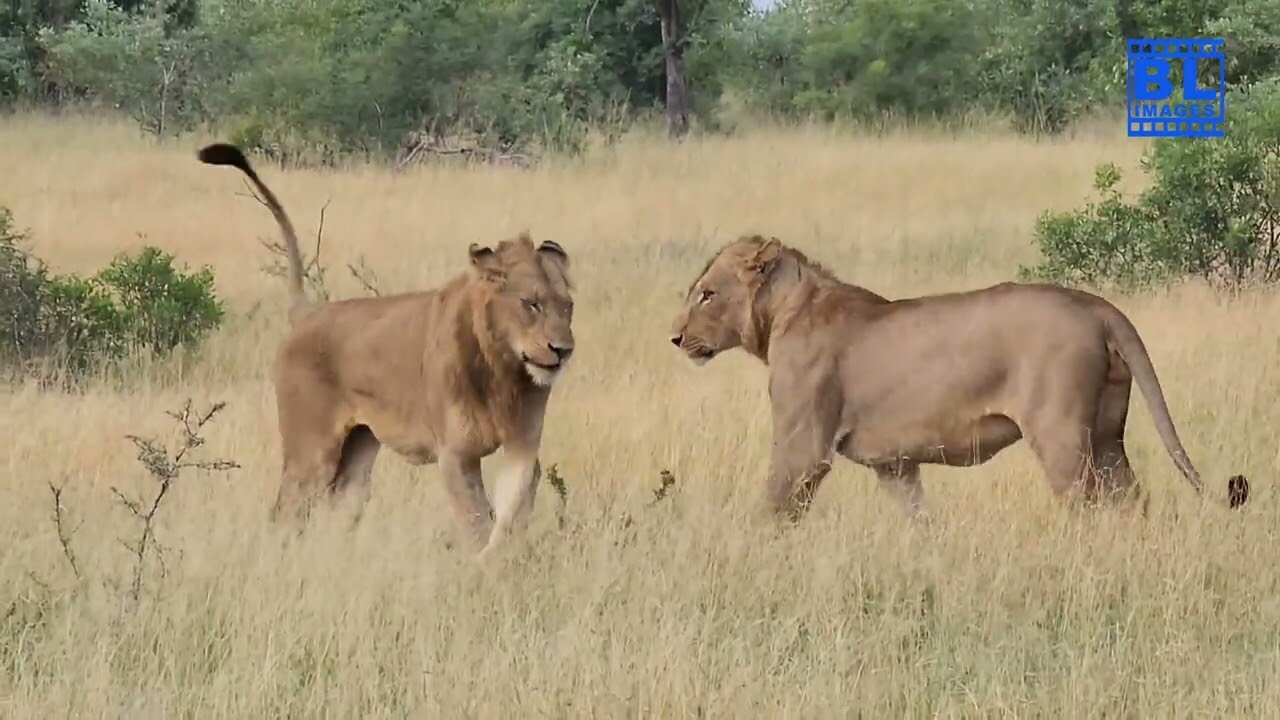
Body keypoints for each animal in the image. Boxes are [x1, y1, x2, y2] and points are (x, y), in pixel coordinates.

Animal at [195, 141, 576, 556]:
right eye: (531, 304)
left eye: (568, 306)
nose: (563, 350)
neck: (503, 370)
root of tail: (309, 312)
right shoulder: (455, 454)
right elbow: (476, 521)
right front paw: (482, 561)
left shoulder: (522, 444)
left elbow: (511, 512)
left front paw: (501, 557)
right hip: (311, 453)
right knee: (286, 511)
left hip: (358, 454)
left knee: (342, 508)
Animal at [670, 235, 1249, 520]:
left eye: (707, 294)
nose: (674, 338)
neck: (785, 312)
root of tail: (1098, 305)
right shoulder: (895, 465)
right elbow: (918, 520)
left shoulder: (804, 445)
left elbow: (775, 508)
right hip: (1108, 435)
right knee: (1131, 500)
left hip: (1062, 435)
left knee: (1088, 504)